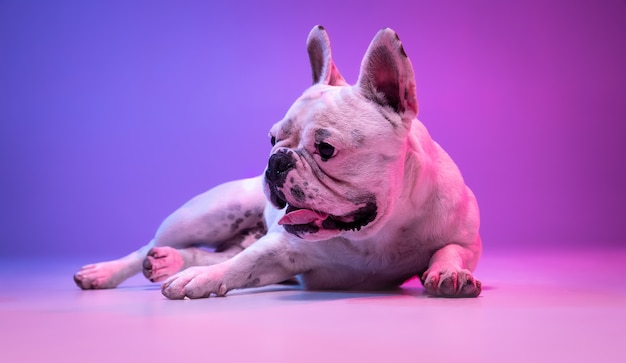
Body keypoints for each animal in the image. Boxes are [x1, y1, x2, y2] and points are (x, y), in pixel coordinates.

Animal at [74, 24, 482, 298]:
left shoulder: (466, 239)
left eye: (326, 149)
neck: (374, 236)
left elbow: (451, 251)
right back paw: (106, 272)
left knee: (209, 252)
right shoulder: (281, 249)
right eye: (271, 139)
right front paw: (199, 281)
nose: (276, 162)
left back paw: (168, 262)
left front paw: (450, 275)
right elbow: (241, 265)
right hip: (204, 215)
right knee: (153, 247)